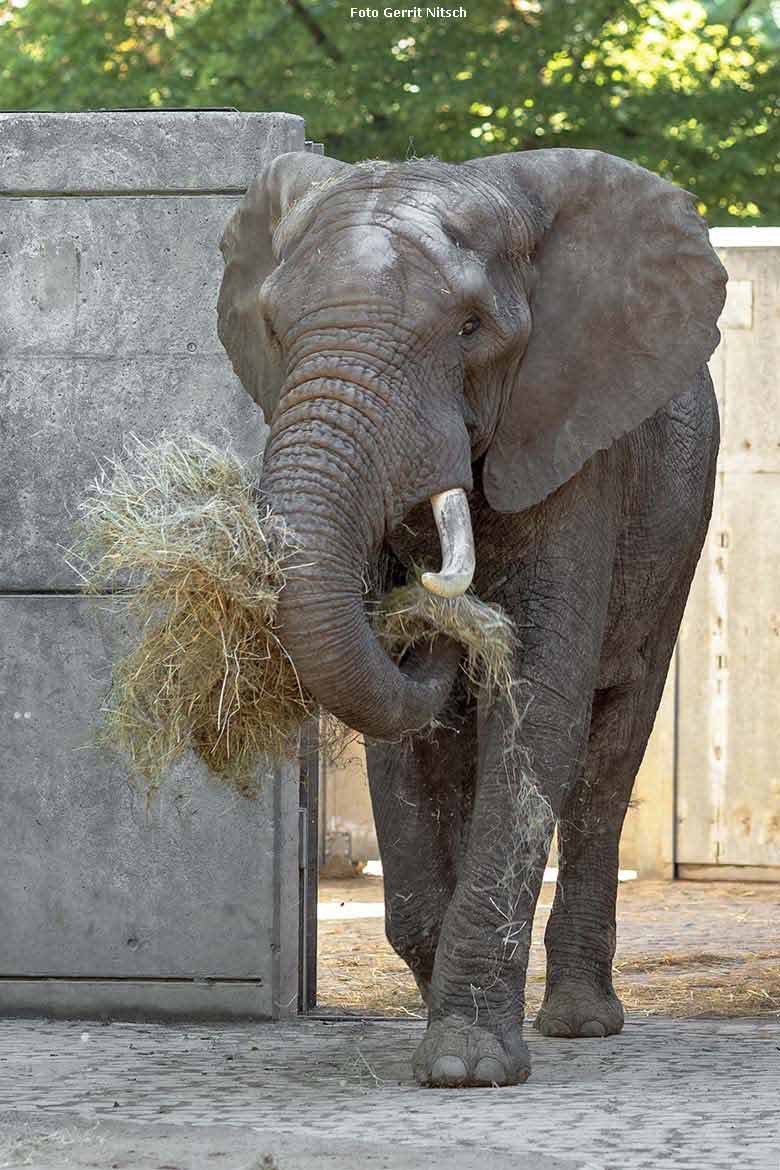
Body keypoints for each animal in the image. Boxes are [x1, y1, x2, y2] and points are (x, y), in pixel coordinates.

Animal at [216, 148, 729, 1085]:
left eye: (470, 329)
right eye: (272, 327)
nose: (427, 604)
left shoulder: (570, 439)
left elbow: (537, 704)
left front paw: (466, 1065)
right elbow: (401, 740)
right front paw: (442, 1017)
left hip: (679, 524)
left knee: (610, 754)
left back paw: (580, 1022)